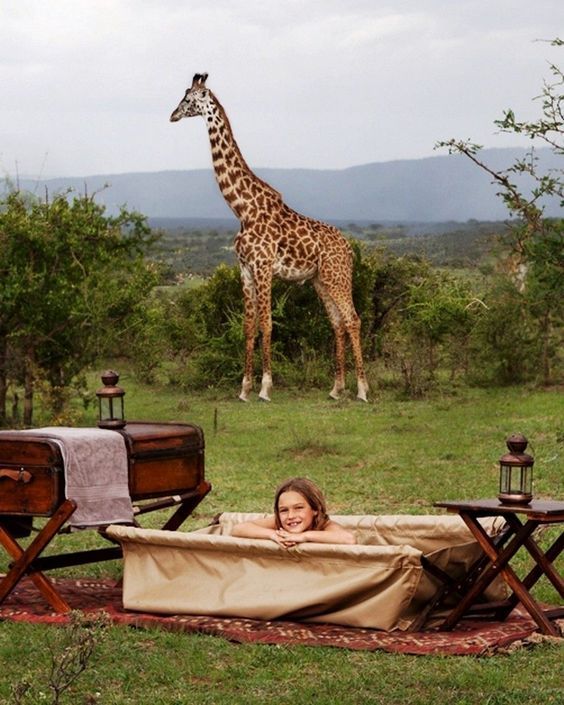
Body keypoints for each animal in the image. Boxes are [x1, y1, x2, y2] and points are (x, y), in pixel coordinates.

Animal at [170, 73, 368, 402]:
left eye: (187, 99)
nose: (172, 115)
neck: (241, 208)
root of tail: (349, 249)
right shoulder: (245, 269)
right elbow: (249, 326)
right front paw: (244, 388)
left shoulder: (263, 267)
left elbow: (267, 323)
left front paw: (264, 387)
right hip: (320, 280)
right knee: (338, 322)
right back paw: (337, 388)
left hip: (338, 276)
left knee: (353, 319)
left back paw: (363, 390)